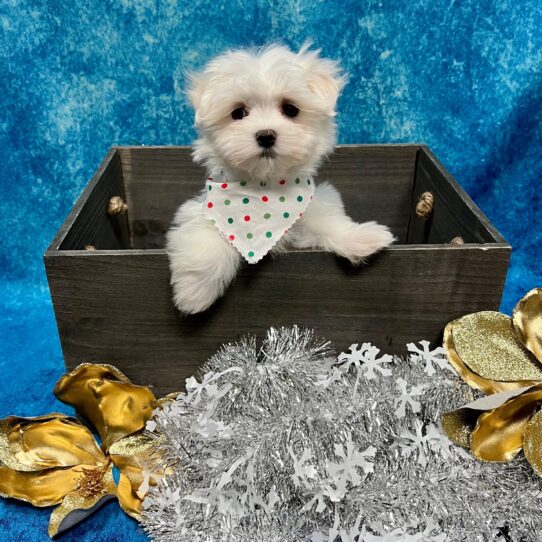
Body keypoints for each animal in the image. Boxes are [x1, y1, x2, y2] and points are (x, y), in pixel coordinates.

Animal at [166, 43, 396, 314]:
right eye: (238, 113)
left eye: (290, 109)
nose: (266, 135)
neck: (263, 189)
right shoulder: (204, 210)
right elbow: (205, 239)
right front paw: (194, 294)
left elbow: (328, 221)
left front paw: (362, 237)